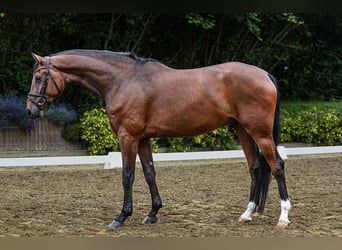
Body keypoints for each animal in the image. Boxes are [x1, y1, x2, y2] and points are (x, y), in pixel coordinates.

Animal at [26, 48, 292, 229]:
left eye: (38, 78)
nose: (30, 110)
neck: (122, 80)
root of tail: (265, 74)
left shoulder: (128, 137)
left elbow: (127, 175)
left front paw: (121, 216)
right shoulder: (143, 138)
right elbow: (149, 173)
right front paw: (152, 213)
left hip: (259, 133)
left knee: (277, 165)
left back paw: (283, 217)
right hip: (243, 131)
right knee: (255, 167)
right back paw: (247, 214)